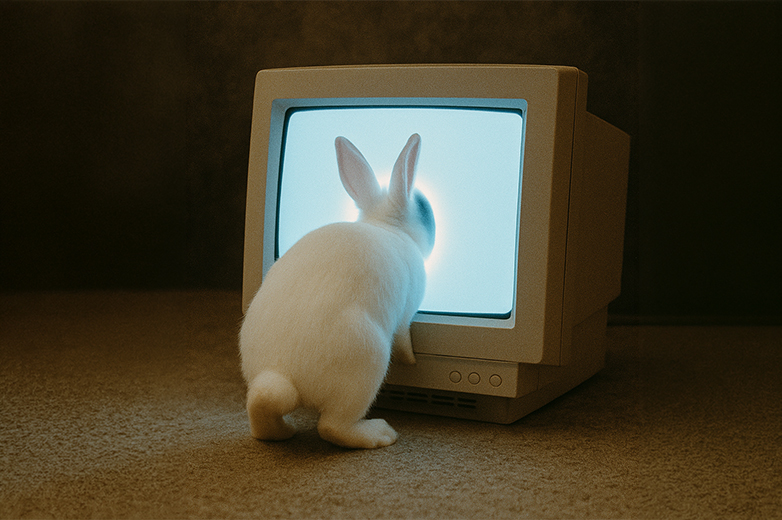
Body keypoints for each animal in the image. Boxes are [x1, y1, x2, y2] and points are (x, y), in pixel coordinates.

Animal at [239, 133, 435, 449]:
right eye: (425, 209)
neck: (387, 227)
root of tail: (283, 372)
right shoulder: (406, 314)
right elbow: (404, 337)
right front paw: (412, 360)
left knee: (261, 412)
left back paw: (283, 432)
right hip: (367, 360)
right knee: (332, 427)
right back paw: (379, 433)